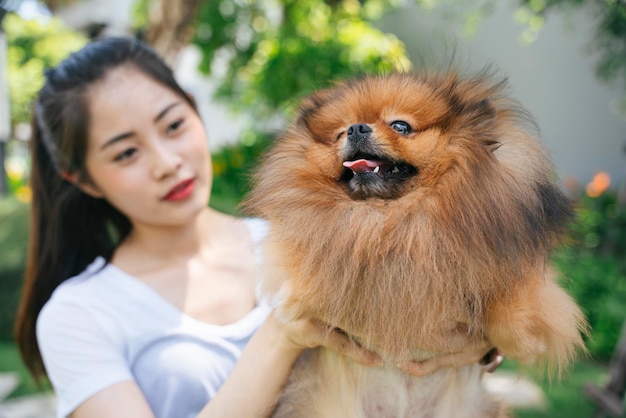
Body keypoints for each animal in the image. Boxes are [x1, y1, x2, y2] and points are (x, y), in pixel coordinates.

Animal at [243, 70, 584, 416]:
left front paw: (524, 341)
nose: (356, 128)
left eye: (400, 126)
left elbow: (511, 296)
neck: (393, 215)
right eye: (339, 133)